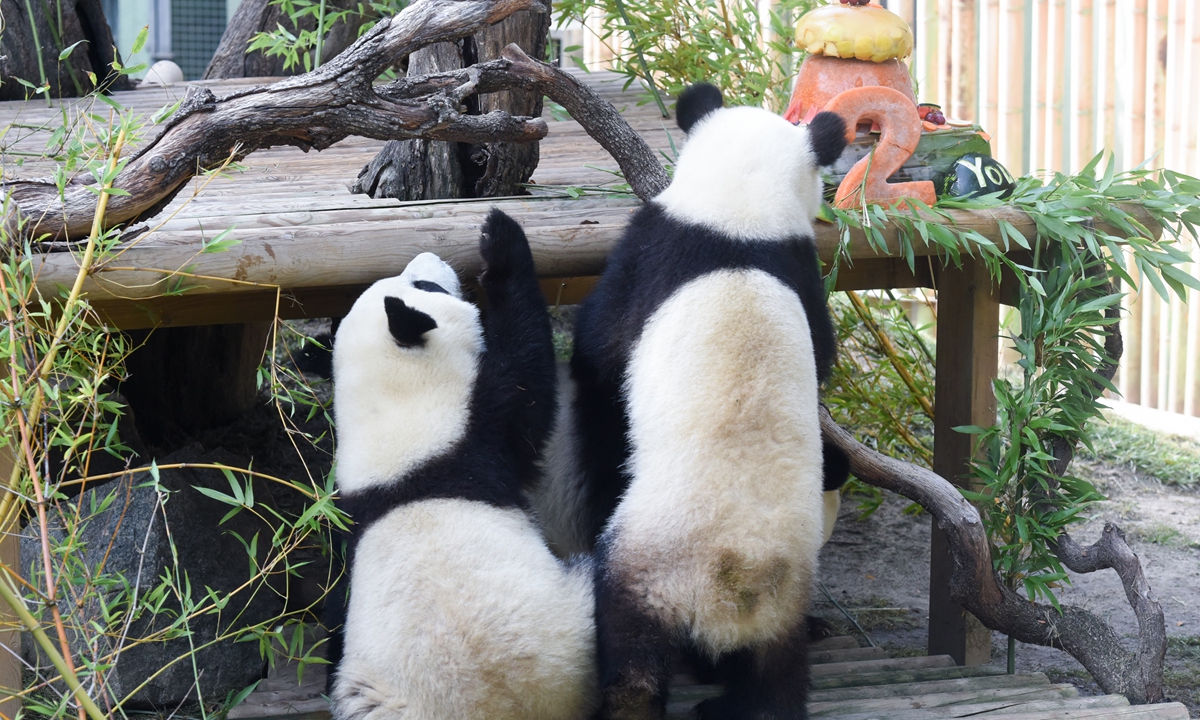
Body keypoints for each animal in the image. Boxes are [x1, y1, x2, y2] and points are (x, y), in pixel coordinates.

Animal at [328, 209, 597, 720]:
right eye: (427, 286)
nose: (430, 255)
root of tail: (504, 706)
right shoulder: (485, 427)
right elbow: (529, 373)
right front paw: (501, 237)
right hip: (580, 615)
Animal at [553, 83, 850, 719]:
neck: (738, 224)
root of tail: (733, 578)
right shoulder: (802, 272)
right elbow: (822, 350)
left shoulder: (649, 255)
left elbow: (601, 352)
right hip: (782, 597)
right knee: (775, 673)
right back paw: (745, 703)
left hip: (650, 561)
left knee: (631, 645)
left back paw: (630, 702)